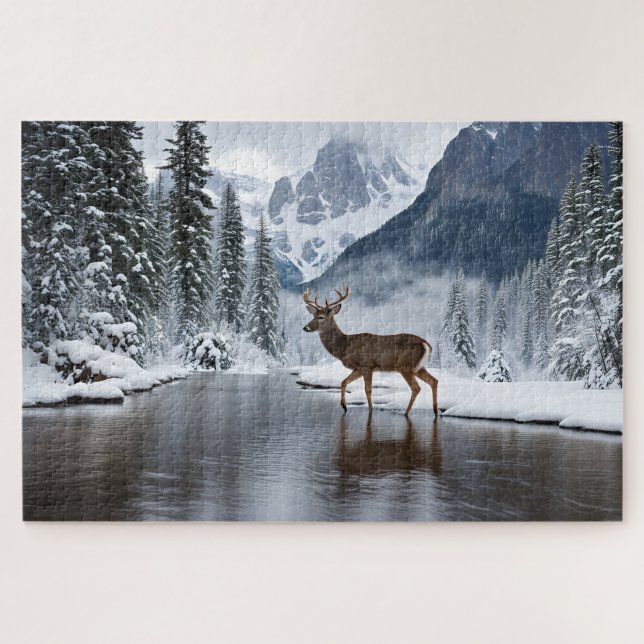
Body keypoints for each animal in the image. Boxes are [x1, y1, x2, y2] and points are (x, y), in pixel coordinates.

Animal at [303, 286, 438, 417]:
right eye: (313, 316)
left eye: (321, 317)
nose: (305, 327)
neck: (345, 346)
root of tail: (427, 345)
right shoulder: (359, 368)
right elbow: (343, 382)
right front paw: (344, 407)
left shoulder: (366, 365)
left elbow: (367, 389)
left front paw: (370, 410)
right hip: (418, 367)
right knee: (434, 381)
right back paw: (435, 411)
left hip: (405, 366)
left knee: (416, 388)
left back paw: (406, 413)